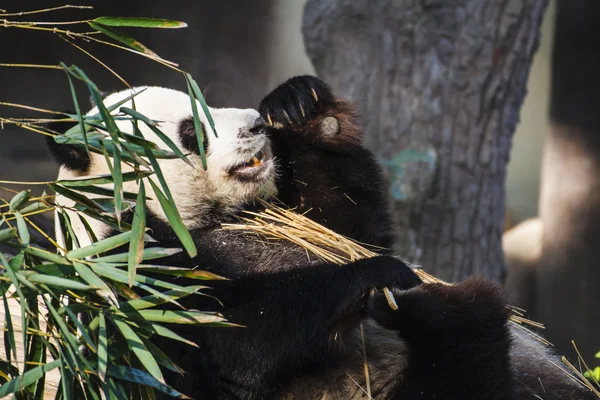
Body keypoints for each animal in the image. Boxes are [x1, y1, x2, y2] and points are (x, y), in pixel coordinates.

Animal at [45, 76, 592, 400]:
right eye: (190, 131)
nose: (255, 124)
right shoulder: (129, 276)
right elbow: (237, 336)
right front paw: (379, 276)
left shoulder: (274, 216)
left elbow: (347, 226)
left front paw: (299, 107)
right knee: (457, 372)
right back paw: (455, 311)